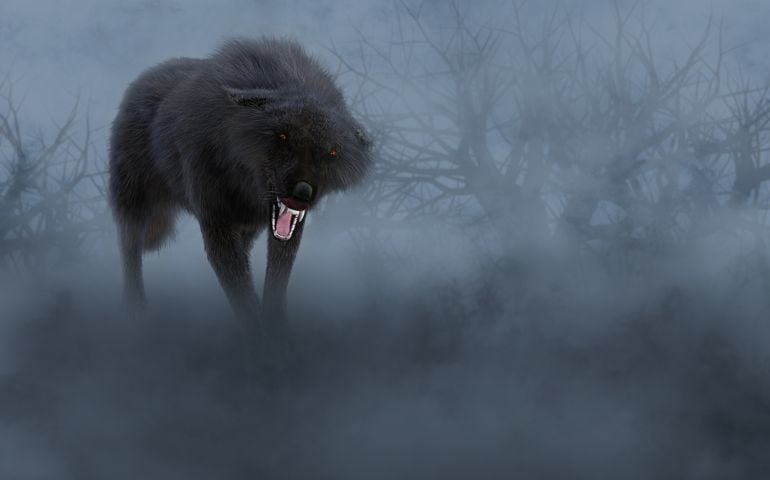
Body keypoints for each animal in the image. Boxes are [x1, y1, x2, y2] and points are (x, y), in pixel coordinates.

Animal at [109, 37, 372, 334]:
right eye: (283, 136)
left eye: (332, 152)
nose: (302, 193)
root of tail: (144, 76)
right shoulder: (216, 221)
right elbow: (240, 289)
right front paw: (257, 335)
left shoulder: (274, 225)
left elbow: (274, 279)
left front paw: (276, 327)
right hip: (133, 199)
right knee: (129, 246)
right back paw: (134, 309)